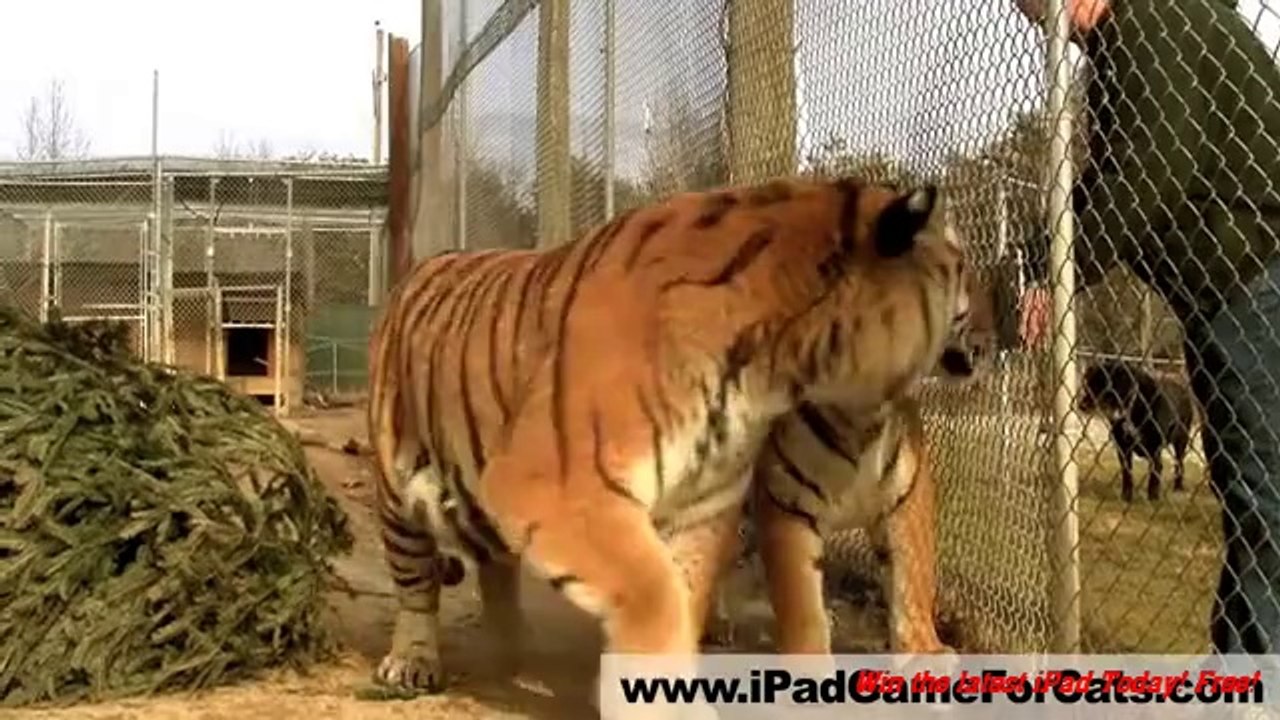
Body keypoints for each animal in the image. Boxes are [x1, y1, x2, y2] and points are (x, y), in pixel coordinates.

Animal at [702, 263, 997, 657]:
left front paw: (924, 650)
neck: (862, 416)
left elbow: (912, 574)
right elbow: (800, 601)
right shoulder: (785, 505)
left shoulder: (906, 492)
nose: (992, 334)